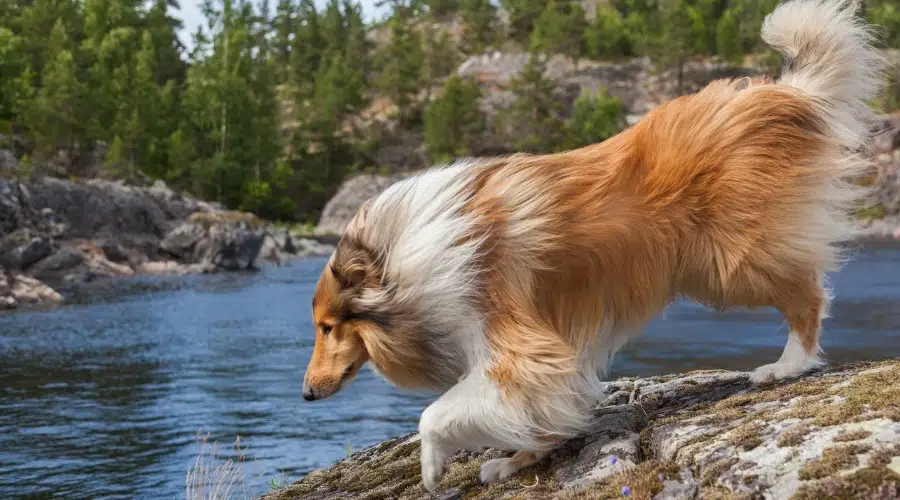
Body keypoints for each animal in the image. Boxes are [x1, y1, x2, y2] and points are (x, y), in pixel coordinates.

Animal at [300, 0, 884, 492]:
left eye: (328, 327)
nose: (305, 394)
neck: (398, 265)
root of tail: (782, 92)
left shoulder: (517, 350)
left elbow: (435, 414)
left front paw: (431, 466)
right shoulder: (534, 358)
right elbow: (536, 417)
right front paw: (518, 461)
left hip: (732, 263)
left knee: (810, 296)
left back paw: (787, 365)